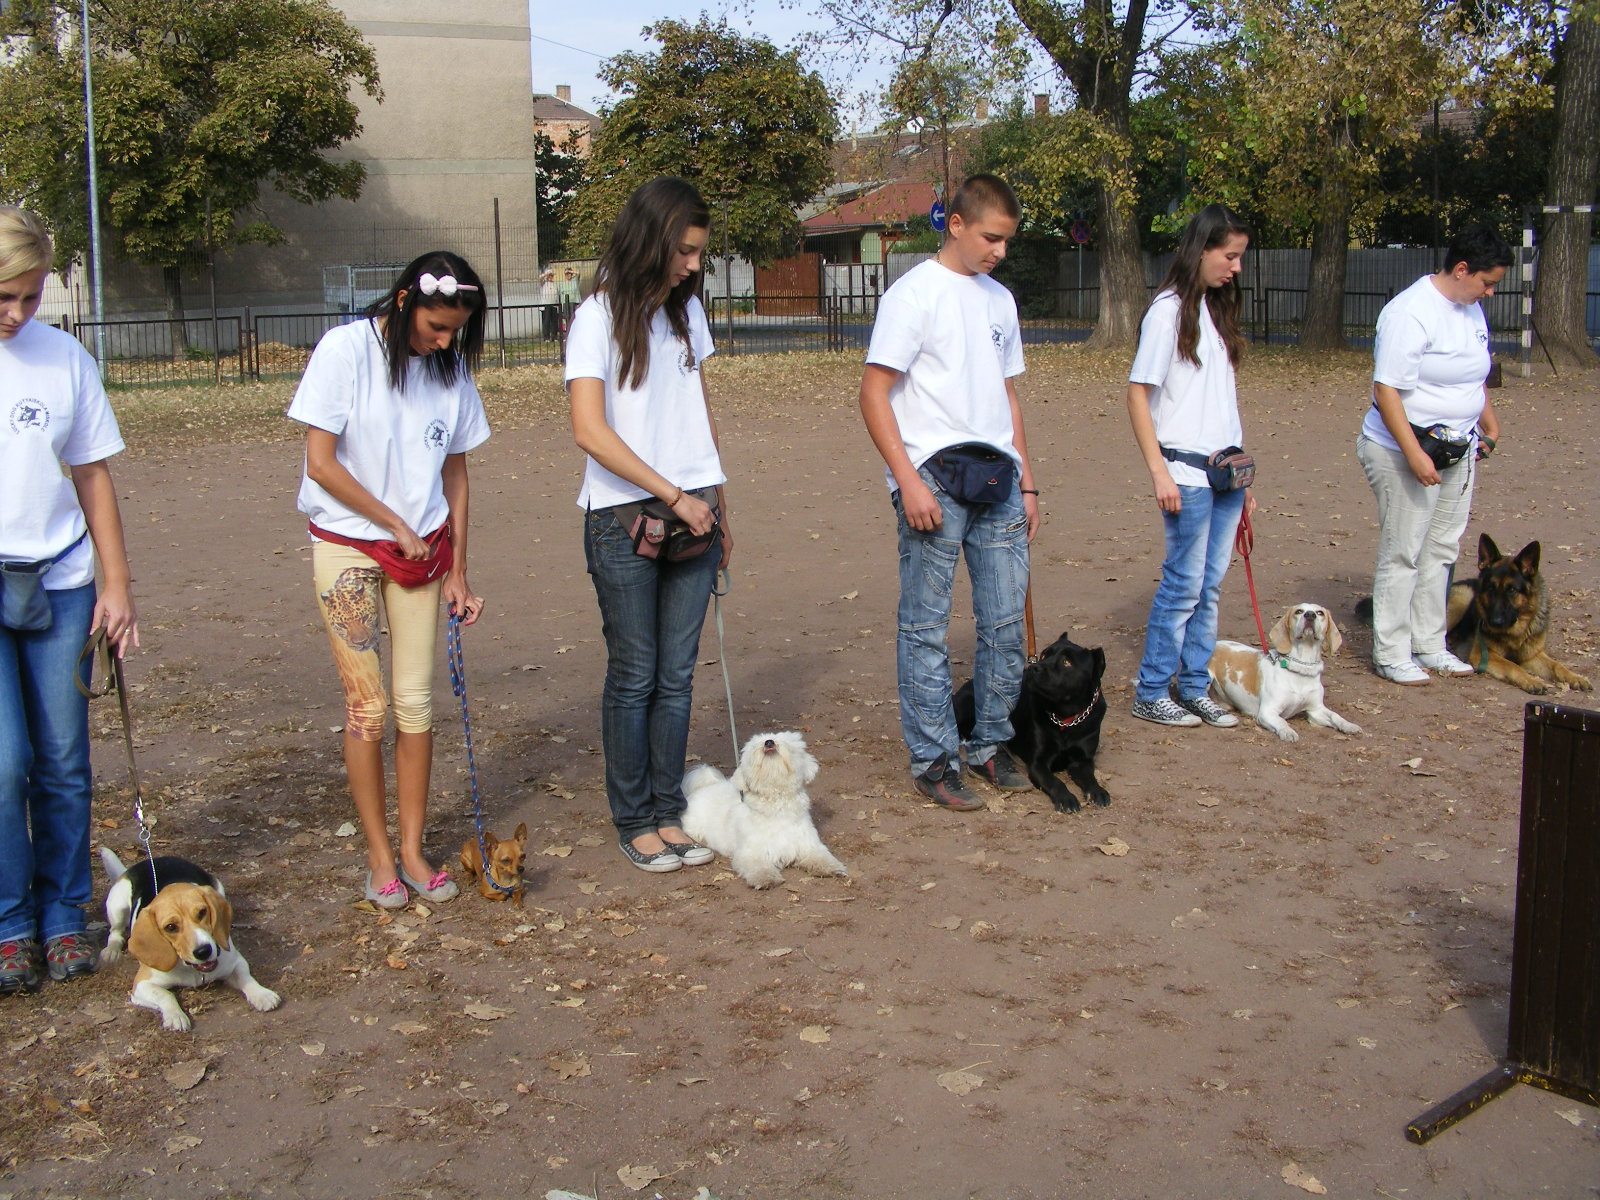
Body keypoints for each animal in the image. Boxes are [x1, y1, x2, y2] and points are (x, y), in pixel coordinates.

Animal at [681, 732, 851, 896]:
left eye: (782, 740)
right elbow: (759, 867)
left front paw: (833, 867)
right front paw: (766, 879)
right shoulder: (751, 853)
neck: (777, 805)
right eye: (755, 745)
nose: (769, 742)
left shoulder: (808, 845)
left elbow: (822, 857)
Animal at [1446, 534, 1593, 694]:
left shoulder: (1532, 656)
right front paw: (1532, 681)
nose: (1495, 622)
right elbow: (1512, 665)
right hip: (1464, 596)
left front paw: (1576, 677)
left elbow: (1557, 666)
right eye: (1490, 588)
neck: (1516, 632)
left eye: (1512, 590)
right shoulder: (1482, 654)